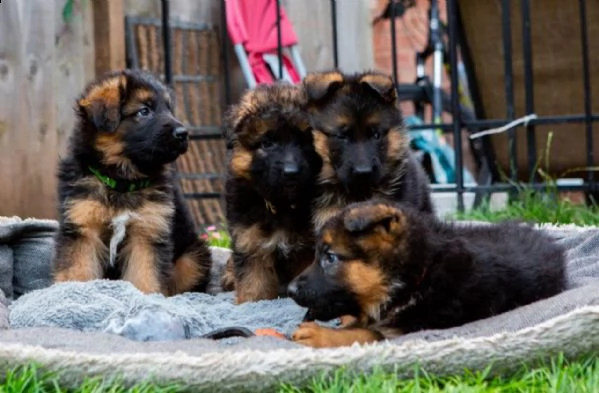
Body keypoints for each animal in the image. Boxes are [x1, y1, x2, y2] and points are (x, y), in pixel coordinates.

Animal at [52, 68, 213, 294]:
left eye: (169, 109)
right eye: (144, 111)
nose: (184, 134)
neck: (122, 180)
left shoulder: (147, 232)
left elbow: (145, 276)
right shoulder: (82, 227)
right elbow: (78, 270)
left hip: (193, 257)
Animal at [221, 82, 324, 302]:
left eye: (304, 141)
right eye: (267, 144)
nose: (291, 172)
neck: (282, 204)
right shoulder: (250, 242)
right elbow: (253, 287)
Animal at [288, 199, 568, 346]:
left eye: (330, 257)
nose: (289, 289)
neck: (418, 274)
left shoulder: (413, 326)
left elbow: (369, 333)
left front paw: (318, 335)